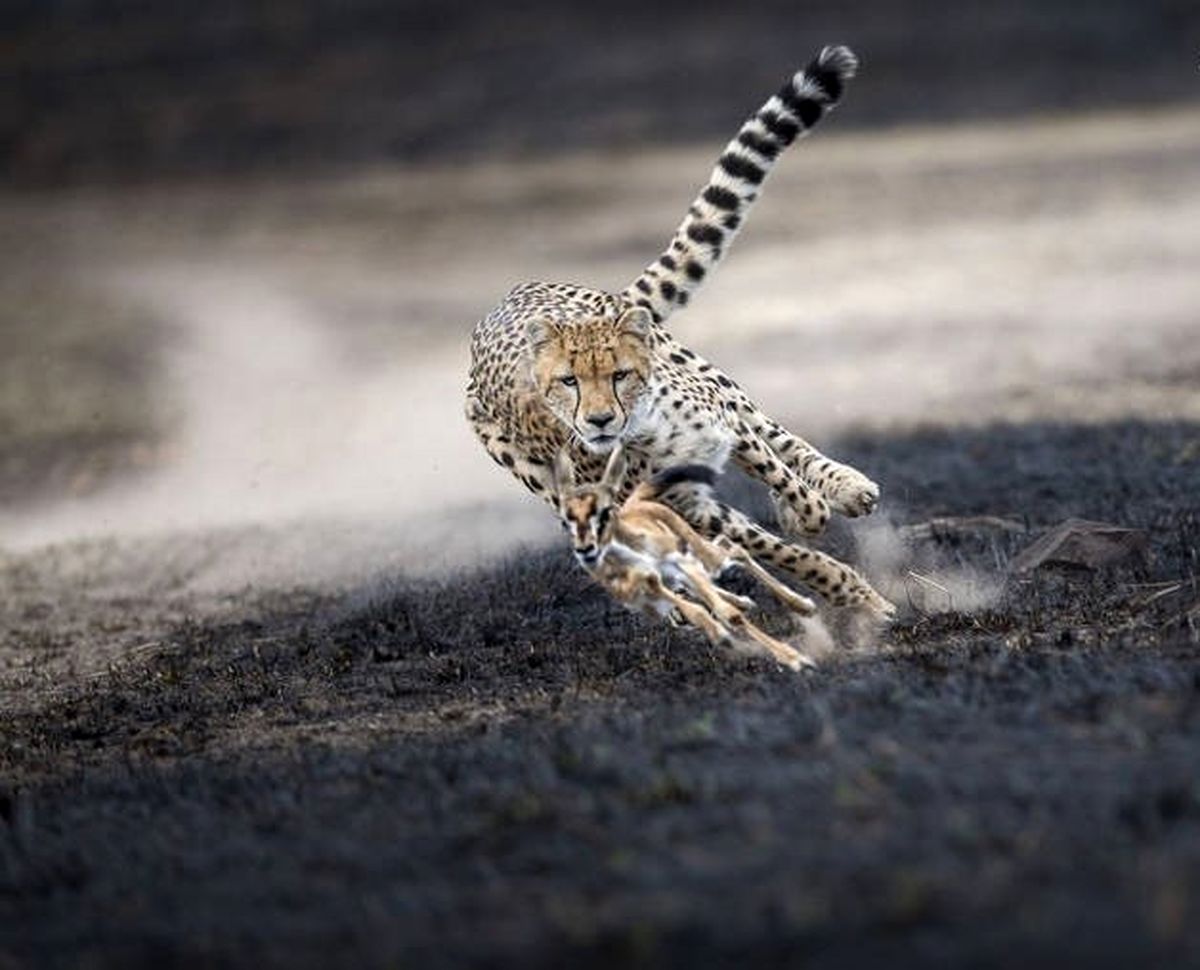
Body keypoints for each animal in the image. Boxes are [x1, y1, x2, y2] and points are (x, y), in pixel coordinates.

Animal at [463, 43, 897, 614]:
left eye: (619, 375)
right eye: (568, 382)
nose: (599, 420)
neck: (646, 433)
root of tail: (505, 300)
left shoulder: (726, 428)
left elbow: (780, 472)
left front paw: (808, 511)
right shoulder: (690, 503)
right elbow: (778, 549)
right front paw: (842, 586)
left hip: (710, 377)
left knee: (779, 436)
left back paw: (843, 486)